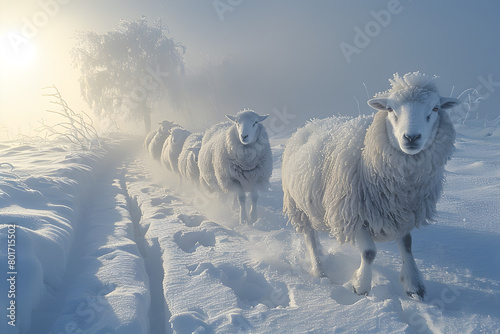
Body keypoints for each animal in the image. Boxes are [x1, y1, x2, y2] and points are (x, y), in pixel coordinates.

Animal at [282, 71, 460, 300]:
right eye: (391, 109)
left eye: (436, 108)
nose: (411, 137)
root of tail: (311, 123)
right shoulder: (351, 213)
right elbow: (369, 253)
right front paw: (361, 286)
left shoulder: (400, 213)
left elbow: (407, 245)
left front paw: (414, 285)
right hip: (297, 204)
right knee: (309, 237)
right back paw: (320, 270)